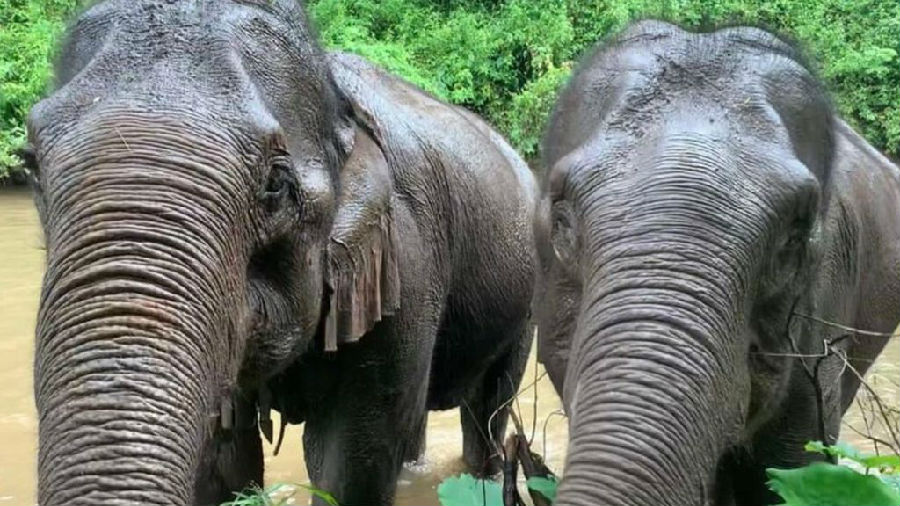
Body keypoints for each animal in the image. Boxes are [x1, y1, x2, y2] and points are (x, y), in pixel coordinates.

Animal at [25, 1, 537, 505]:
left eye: (276, 185)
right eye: (30, 165)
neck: (336, 101)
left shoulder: (403, 263)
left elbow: (349, 464)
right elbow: (223, 463)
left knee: (489, 411)